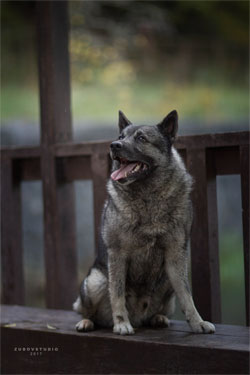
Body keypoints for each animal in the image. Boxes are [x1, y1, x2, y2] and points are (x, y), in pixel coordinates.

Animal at [72, 110, 215, 336]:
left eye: (141, 138)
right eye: (121, 136)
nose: (114, 145)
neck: (148, 197)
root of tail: (139, 317)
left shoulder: (175, 255)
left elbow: (187, 296)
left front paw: (198, 322)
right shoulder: (117, 255)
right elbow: (117, 294)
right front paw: (121, 323)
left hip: (166, 281)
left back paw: (158, 318)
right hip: (95, 281)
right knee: (86, 310)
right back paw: (88, 322)